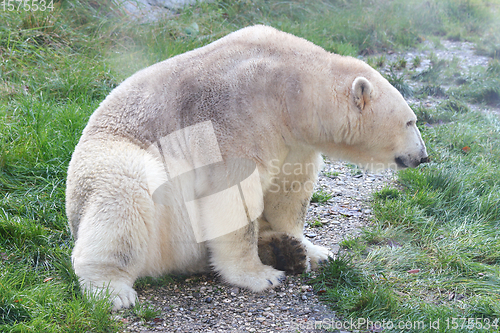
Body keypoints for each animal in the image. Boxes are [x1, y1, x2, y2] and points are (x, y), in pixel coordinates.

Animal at [64, 24, 428, 310]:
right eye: (410, 122)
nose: (423, 156)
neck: (288, 88)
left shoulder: (293, 142)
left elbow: (289, 193)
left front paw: (316, 250)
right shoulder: (235, 118)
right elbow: (234, 197)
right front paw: (260, 277)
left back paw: (284, 250)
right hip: (119, 165)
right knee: (123, 197)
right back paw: (113, 290)